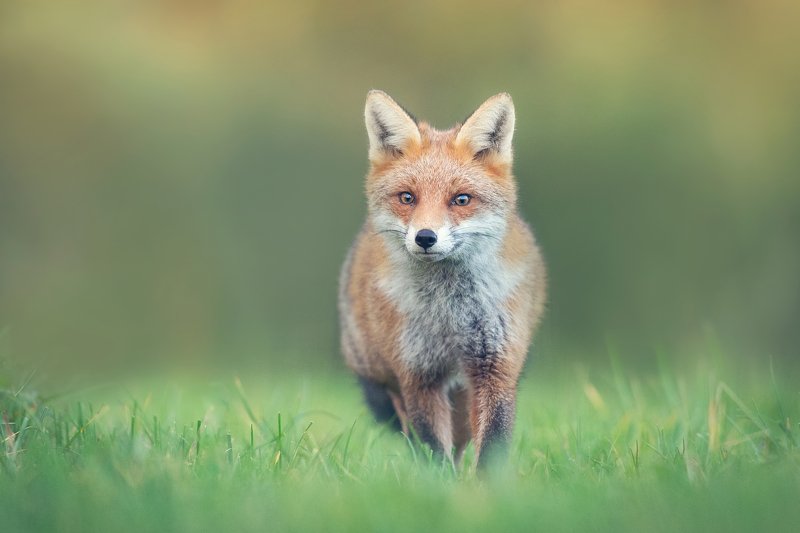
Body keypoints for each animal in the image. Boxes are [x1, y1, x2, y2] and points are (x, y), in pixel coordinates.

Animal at [339, 90, 547, 468]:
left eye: (461, 199)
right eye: (407, 198)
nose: (425, 237)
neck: (450, 311)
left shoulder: (495, 366)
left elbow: (492, 444)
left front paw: (485, 484)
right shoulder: (418, 374)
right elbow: (433, 448)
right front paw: (438, 482)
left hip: (463, 391)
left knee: (462, 439)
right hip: (386, 383)